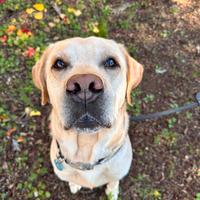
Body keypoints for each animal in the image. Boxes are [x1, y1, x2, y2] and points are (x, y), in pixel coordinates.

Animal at [32, 36, 143, 199]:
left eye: (111, 62)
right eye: (59, 63)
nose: (84, 85)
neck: (86, 148)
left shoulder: (118, 172)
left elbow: (113, 181)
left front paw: (112, 192)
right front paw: (74, 184)